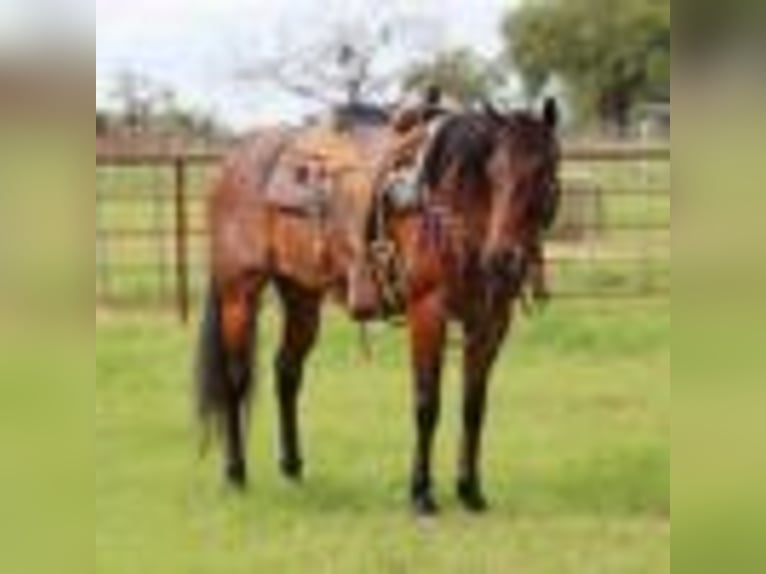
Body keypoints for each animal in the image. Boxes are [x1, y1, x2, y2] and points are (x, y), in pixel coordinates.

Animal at [195, 99, 562, 515]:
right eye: (494, 173)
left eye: (544, 172)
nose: (504, 259)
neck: (449, 203)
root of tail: (232, 163)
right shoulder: (428, 312)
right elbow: (427, 404)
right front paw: (421, 495)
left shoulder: (491, 322)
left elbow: (474, 407)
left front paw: (470, 492)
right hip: (238, 294)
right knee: (236, 380)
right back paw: (235, 474)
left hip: (301, 297)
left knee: (286, 371)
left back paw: (293, 467)